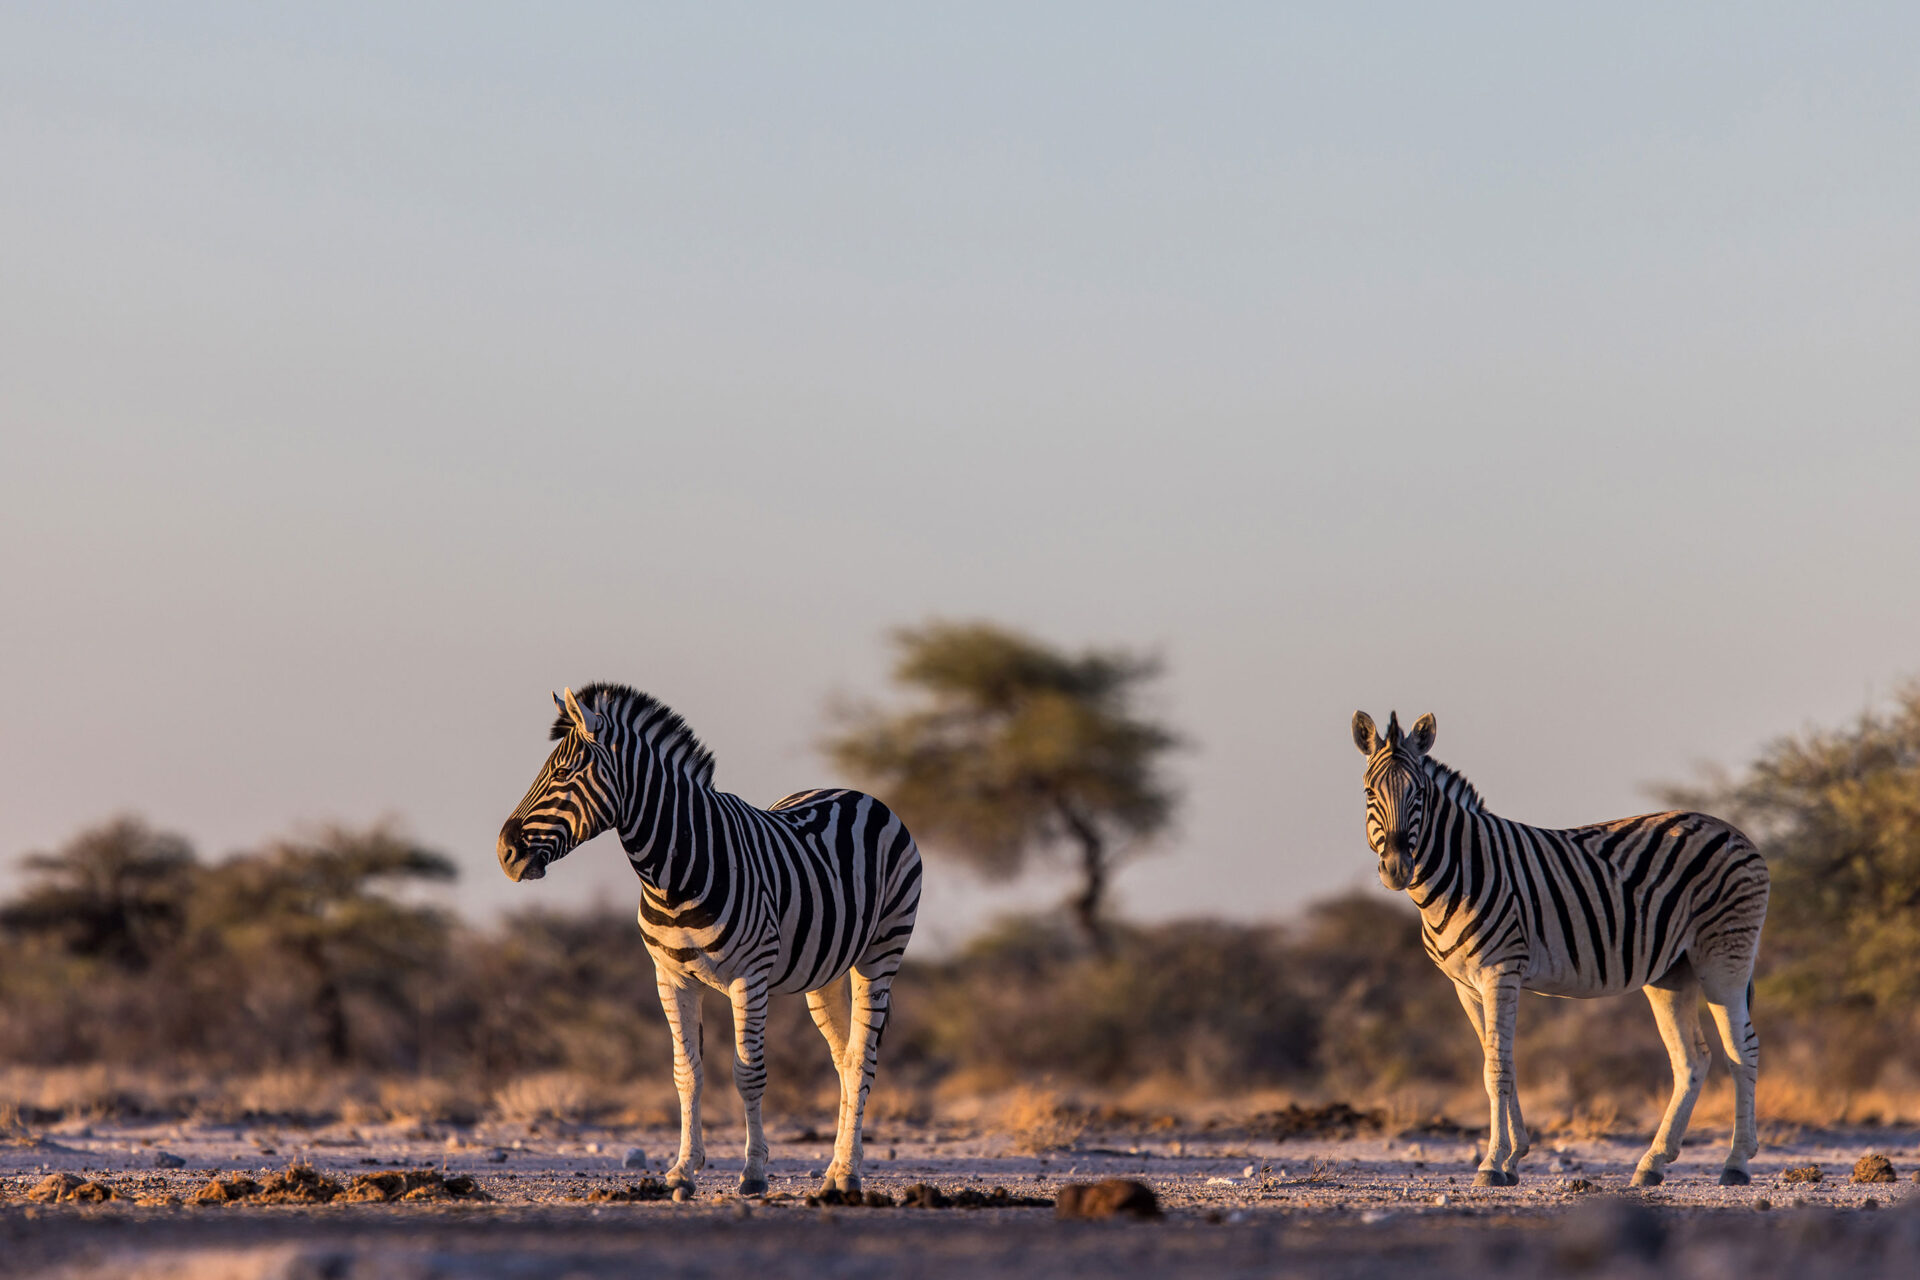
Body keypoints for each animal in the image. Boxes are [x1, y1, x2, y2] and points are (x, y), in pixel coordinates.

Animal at [497, 684, 922, 1199]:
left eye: (562, 773)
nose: (504, 852)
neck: (674, 872)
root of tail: (855, 793)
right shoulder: (671, 977)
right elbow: (687, 1073)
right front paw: (683, 1169)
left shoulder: (749, 977)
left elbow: (748, 1073)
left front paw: (754, 1173)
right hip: (825, 974)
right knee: (844, 1059)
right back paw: (837, 1168)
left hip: (882, 950)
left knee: (862, 1059)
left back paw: (847, 1174)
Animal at [1351, 710, 1767, 1187]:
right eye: (1369, 792)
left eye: (1418, 793)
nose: (1396, 869)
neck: (1460, 868)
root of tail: (1737, 832)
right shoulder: (1465, 985)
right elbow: (1497, 1061)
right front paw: (1513, 1159)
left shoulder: (1500, 971)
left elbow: (1496, 1069)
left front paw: (1492, 1165)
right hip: (1671, 973)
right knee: (1692, 1059)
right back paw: (1652, 1163)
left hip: (1725, 958)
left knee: (1742, 1051)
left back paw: (1735, 1162)